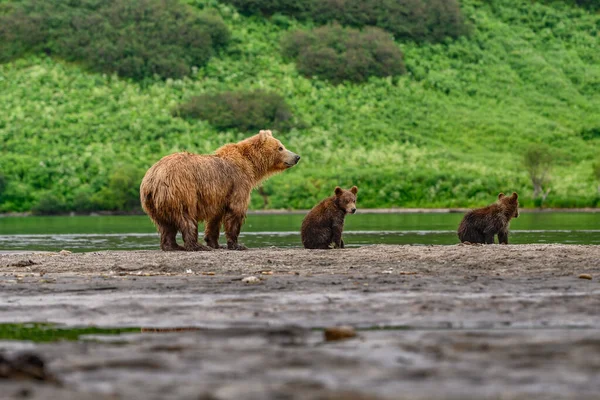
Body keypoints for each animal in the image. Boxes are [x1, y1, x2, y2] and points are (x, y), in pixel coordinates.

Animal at [139, 130, 300, 250]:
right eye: (280, 147)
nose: (296, 157)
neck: (251, 165)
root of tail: (153, 178)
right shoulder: (238, 182)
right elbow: (236, 210)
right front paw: (237, 244)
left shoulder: (219, 195)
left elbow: (215, 218)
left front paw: (215, 243)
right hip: (180, 190)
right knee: (186, 218)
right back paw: (196, 246)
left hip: (154, 203)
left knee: (165, 225)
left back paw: (173, 246)